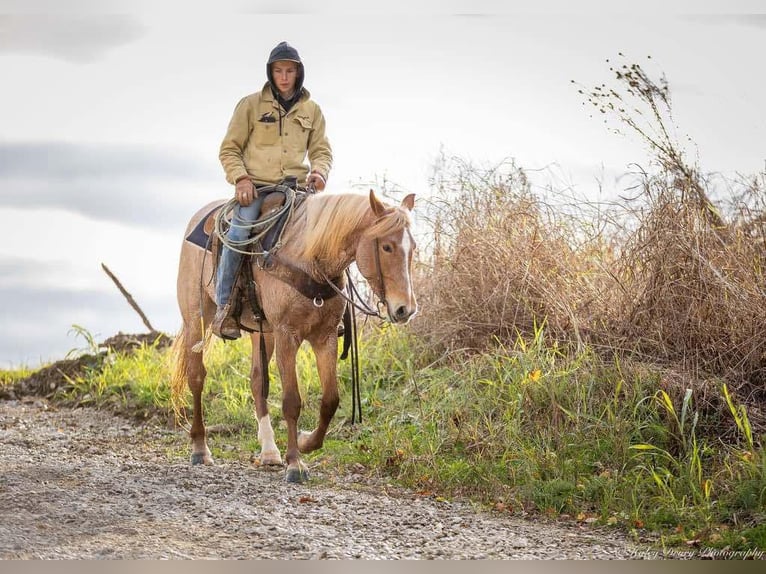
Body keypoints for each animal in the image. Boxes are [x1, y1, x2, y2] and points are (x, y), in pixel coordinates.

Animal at [172, 189, 420, 482]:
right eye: (387, 247)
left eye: (413, 248)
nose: (405, 309)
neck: (309, 259)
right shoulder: (286, 336)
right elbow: (291, 401)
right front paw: (295, 463)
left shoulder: (324, 338)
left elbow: (330, 400)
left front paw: (305, 442)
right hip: (196, 320)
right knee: (197, 377)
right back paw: (200, 449)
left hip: (262, 332)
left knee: (258, 381)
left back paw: (269, 452)